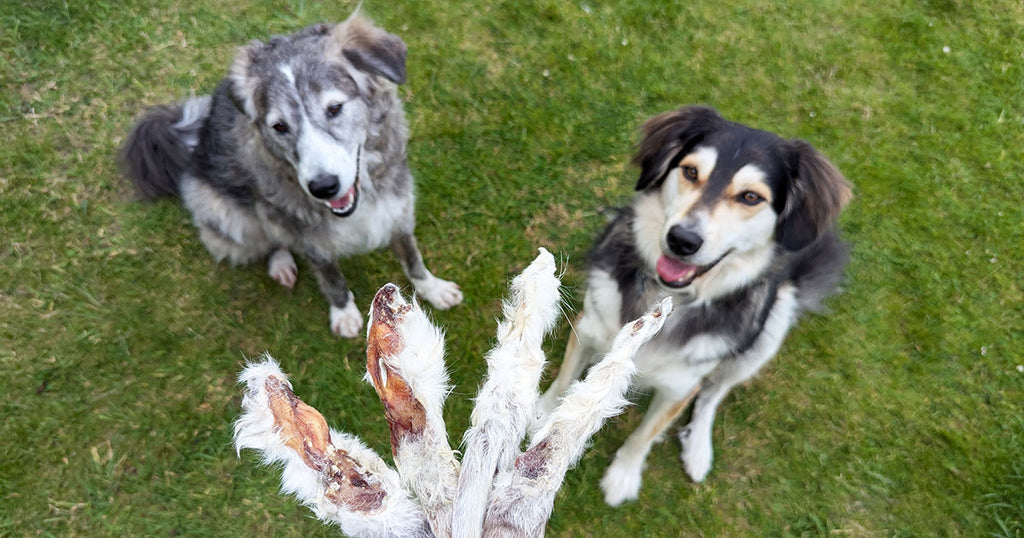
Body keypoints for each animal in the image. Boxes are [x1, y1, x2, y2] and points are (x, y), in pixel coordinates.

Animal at [117, 16, 464, 336]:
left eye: (334, 108)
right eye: (279, 126)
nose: (323, 187)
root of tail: (193, 147)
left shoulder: (397, 207)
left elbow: (412, 258)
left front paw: (433, 289)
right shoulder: (307, 235)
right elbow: (331, 277)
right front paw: (344, 314)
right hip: (225, 212)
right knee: (266, 237)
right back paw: (281, 263)